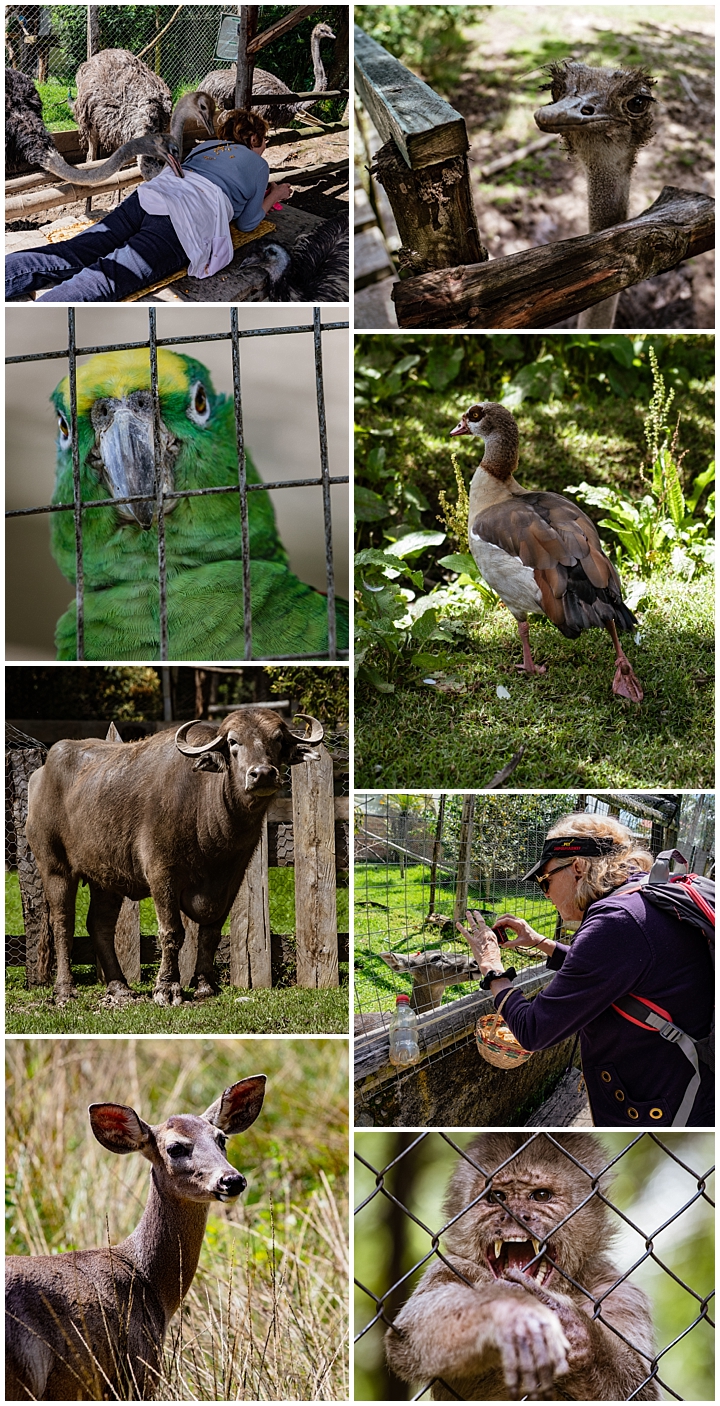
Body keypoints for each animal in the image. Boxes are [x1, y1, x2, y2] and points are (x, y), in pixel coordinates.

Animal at [26, 714, 323, 1001]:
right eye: (233, 742)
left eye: (277, 739)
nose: (262, 774)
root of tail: (40, 775)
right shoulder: (161, 873)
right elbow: (172, 932)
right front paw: (167, 987)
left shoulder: (232, 878)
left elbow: (210, 932)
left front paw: (205, 985)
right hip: (54, 868)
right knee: (63, 924)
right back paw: (65, 990)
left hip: (106, 877)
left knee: (100, 926)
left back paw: (119, 987)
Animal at [385, 1136, 660, 1400]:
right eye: (496, 1197)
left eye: (541, 1196)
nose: (516, 1215)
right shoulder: (454, 1267)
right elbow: (408, 1332)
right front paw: (512, 1312)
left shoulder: (619, 1294)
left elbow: (641, 1390)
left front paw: (576, 1332)